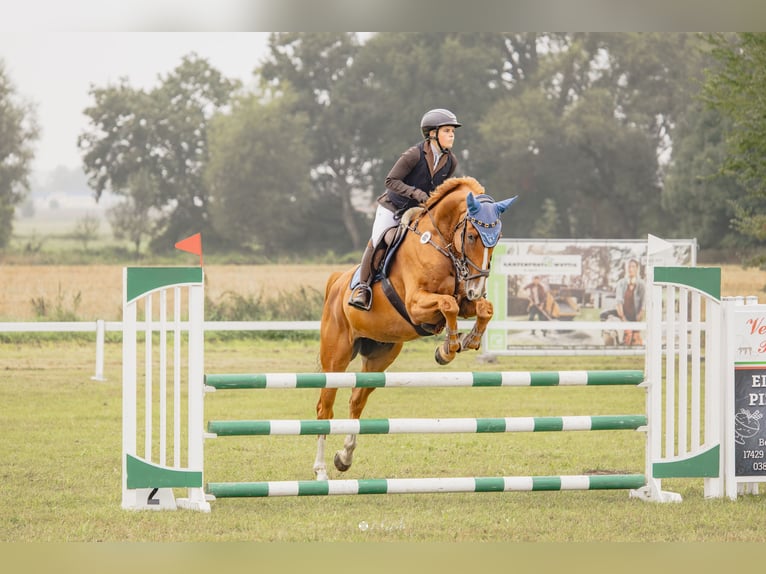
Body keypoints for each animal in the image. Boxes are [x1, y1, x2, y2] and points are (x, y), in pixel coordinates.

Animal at [313, 176, 516, 480]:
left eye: (498, 239)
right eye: (471, 236)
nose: (476, 289)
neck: (439, 243)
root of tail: (337, 282)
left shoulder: (463, 300)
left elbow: (482, 309)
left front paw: (467, 341)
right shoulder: (415, 305)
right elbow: (448, 305)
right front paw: (449, 347)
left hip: (380, 357)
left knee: (356, 400)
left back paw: (344, 458)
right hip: (335, 358)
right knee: (324, 408)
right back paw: (321, 470)